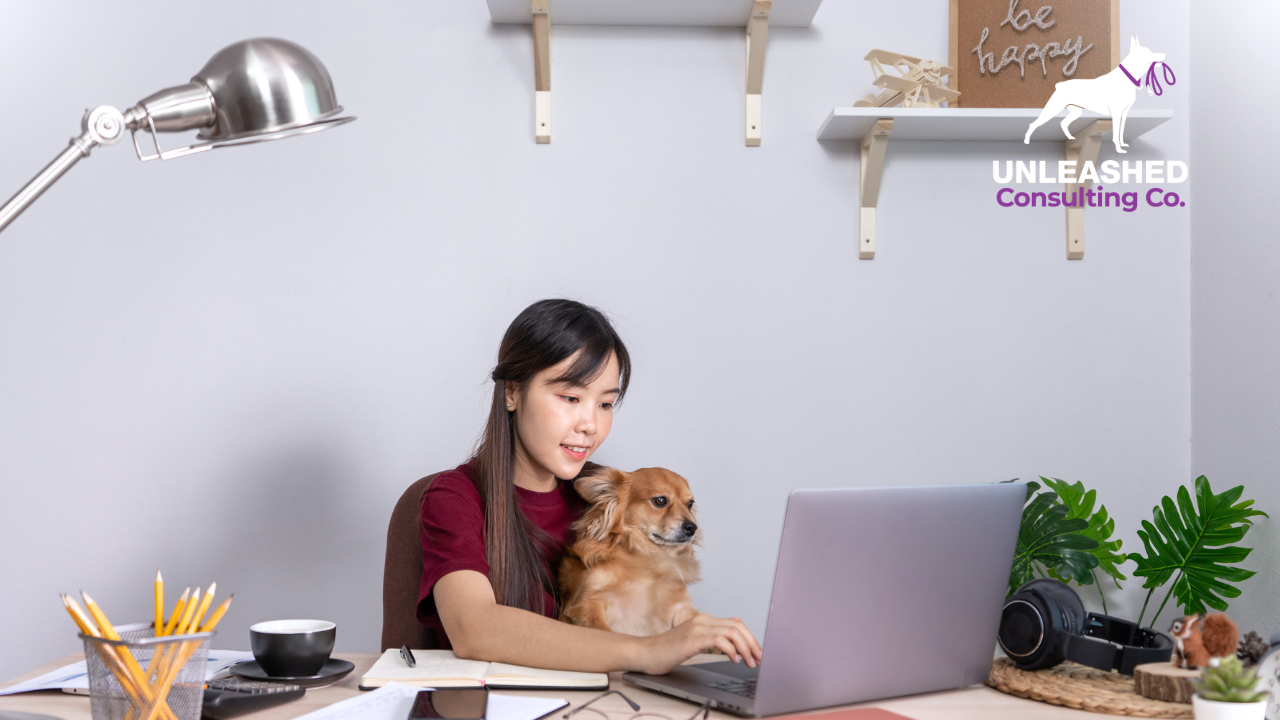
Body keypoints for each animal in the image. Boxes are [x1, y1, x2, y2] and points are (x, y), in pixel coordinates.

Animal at [560, 466, 701, 632]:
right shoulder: (585, 604)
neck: (649, 555)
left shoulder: (681, 608)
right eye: (660, 501)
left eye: (690, 504)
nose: (692, 527)